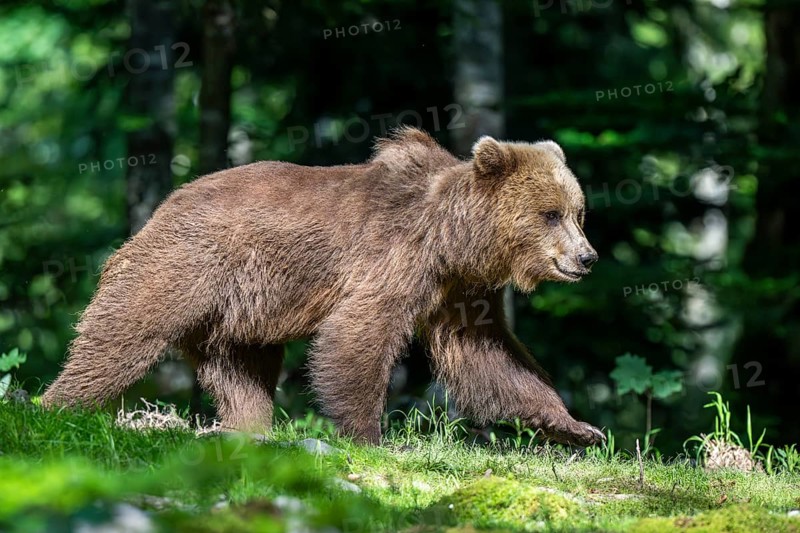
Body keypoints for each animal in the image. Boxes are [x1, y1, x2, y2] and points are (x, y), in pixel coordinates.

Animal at [42, 127, 604, 447]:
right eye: (550, 214)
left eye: (578, 212)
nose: (586, 258)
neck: (454, 242)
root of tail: (163, 207)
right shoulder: (396, 259)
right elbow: (359, 333)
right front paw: (367, 433)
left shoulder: (459, 291)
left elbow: (491, 357)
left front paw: (579, 428)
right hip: (185, 267)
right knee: (124, 333)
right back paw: (56, 404)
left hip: (240, 314)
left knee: (242, 370)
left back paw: (250, 427)